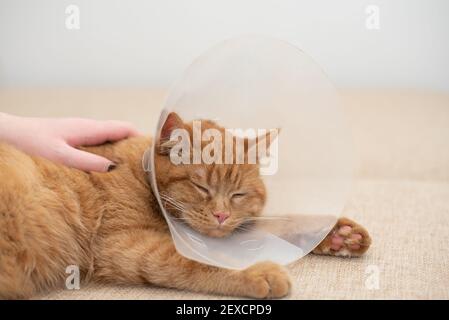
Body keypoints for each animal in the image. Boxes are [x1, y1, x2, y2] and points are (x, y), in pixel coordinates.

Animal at [0, 112, 372, 298]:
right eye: (201, 186)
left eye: (238, 194)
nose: (221, 214)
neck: (139, 174)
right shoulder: (124, 245)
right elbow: (195, 262)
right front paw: (257, 272)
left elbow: (276, 222)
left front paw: (339, 234)